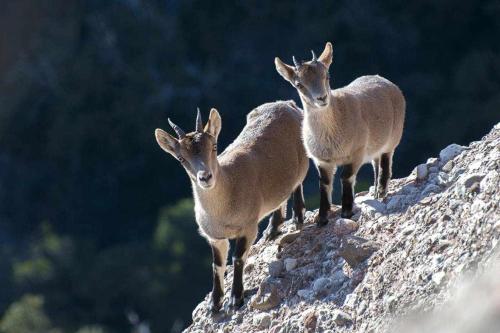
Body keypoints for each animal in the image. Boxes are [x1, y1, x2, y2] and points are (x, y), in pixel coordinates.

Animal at [154, 102, 308, 312]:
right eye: (181, 158)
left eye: (214, 146)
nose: (205, 177)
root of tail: (287, 104)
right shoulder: (215, 237)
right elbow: (217, 265)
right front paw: (214, 303)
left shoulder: (248, 228)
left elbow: (237, 258)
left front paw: (235, 299)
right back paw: (273, 229)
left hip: (303, 158)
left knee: (297, 183)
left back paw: (298, 218)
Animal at [274, 40, 406, 223]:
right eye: (299, 84)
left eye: (327, 76)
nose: (322, 98)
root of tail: (386, 82)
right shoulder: (322, 161)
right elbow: (324, 183)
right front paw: (322, 217)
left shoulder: (356, 153)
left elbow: (346, 177)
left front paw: (346, 211)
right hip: (375, 146)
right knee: (376, 161)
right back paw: (376, 192)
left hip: (393, 136)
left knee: (386, 158)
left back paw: (382, 190)